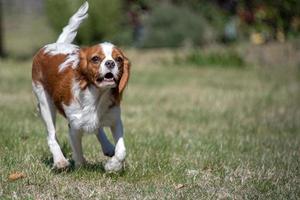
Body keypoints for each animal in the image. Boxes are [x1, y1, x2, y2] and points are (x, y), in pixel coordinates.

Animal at [31, 1, 130, 172]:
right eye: (96, 59)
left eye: (118, 59)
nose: (110, 63)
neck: (97, 96)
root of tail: (55, 44)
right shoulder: (74, 126)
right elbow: (77, 151)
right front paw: (80, 167)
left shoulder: (115, 119)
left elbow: (121, 150)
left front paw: (113, 166)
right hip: (44, 103)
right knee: (51, 134)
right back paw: (60, 161)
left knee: (98, 128)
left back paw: (107, 147)